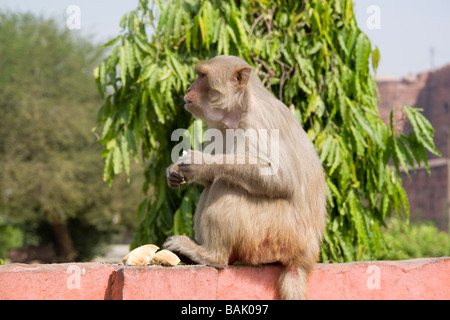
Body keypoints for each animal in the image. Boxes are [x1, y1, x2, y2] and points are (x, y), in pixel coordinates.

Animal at [165, 55, 326, 300]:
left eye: (202, 76)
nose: (189, 88)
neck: (240, 110)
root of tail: (306, 254)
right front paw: (174, 171)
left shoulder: (259, 124)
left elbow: (281, 179)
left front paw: (202, 163)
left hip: (276, 236)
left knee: (227, 184)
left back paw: (212, 255)